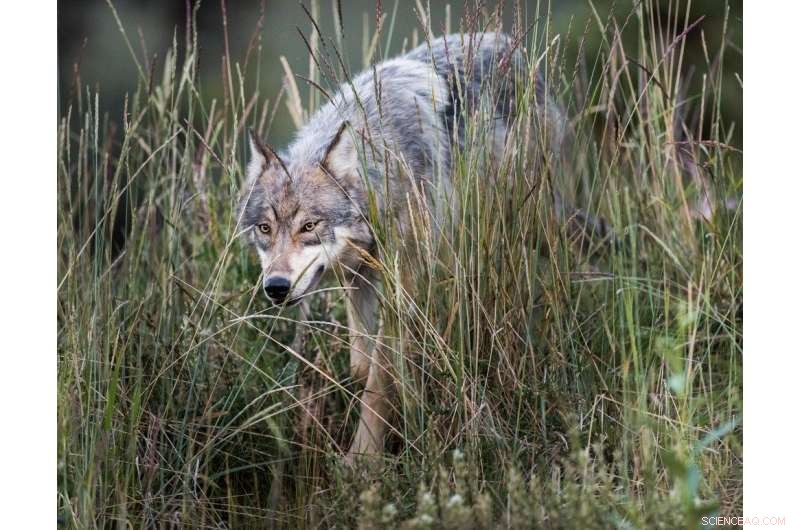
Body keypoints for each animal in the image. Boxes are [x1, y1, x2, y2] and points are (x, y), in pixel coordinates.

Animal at [237, 32, 566, 460]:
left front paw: (362, 459)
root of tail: (507, 41)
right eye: (265, 229)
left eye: (309, 226)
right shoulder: (358, 276)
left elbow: (379, 381)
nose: (275, 287)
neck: (386, 172)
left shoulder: (403, 286)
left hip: (529, 224)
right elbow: (361, 367)